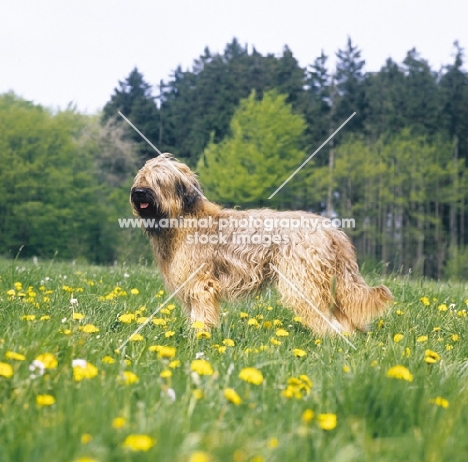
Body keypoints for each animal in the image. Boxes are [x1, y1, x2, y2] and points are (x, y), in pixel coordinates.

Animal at [131, 153, 392, 334]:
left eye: (159, 180)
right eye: (141, 177)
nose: (140, 192)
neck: (183, 219)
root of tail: (332, 230)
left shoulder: (200, 284)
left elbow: (202, 315)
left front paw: (200, 337)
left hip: (303, 280)